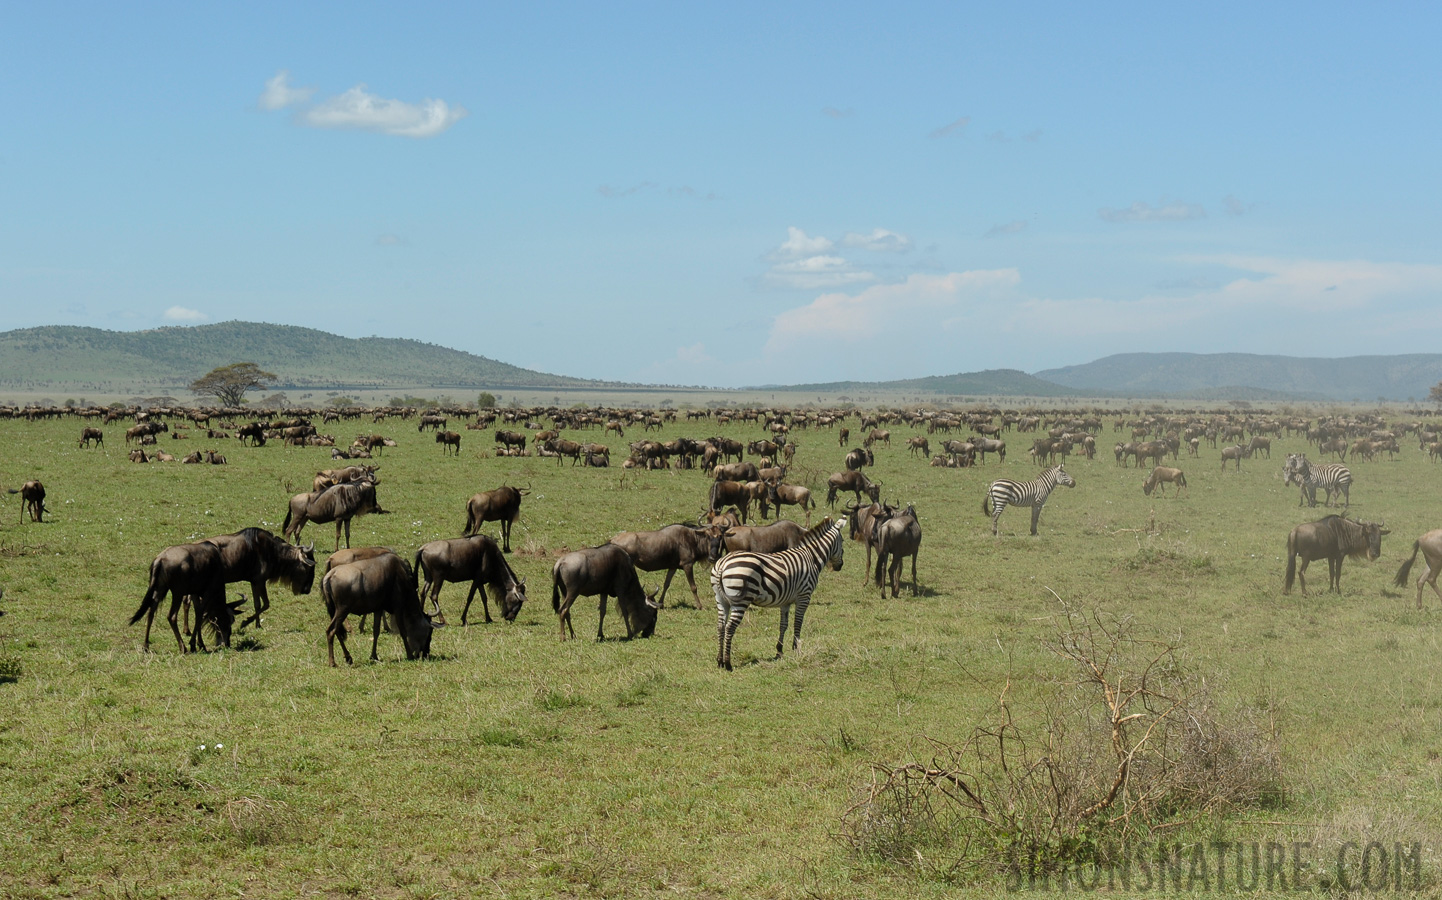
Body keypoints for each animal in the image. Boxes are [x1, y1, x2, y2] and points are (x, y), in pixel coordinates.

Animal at [709, 516, 842, 672]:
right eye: (842, 541)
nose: (840, 566)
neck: (811, 557)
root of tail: (722, 564)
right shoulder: (804, 596)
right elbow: (798, 622)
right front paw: (797, 649)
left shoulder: (786, 601)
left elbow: (783, 624)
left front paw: (779, 651)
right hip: (740, 600)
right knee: (730, 627)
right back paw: (728, 664)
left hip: (721, 599)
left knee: (720, 626)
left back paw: (719, 661)